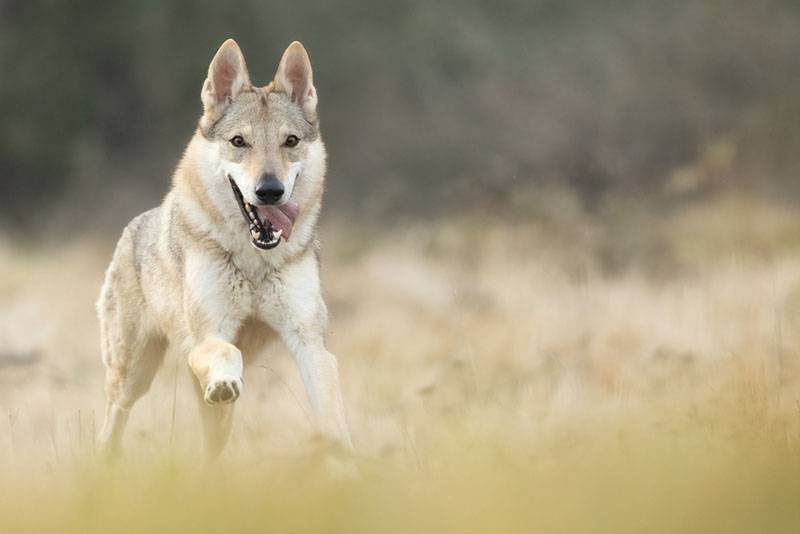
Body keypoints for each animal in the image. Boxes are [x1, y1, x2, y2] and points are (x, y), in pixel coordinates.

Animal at [97, 37, 354, 458]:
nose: (269, 190)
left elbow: (333, 420)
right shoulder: (207, 335)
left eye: (290, 142)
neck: (255, 261)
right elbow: (225, 351)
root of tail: (134, 225)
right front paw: (224, 381)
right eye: (239, 142)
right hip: (132, 377)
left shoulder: (310, 343)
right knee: (112, 420)